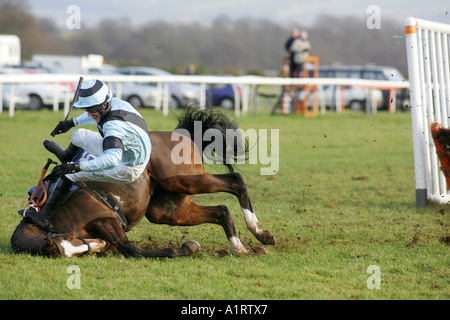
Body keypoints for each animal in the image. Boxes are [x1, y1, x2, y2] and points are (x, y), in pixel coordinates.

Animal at [10, 109, 276, 258]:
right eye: (59, 251)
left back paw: (258, 231)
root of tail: (182, 135)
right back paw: (242, 248)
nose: (97, 245)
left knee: (236, 181)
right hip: (168, 209)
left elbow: (133, 250)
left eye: (63, 244)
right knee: (221, 210)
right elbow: (129, 249)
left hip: (183, 180)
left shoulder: (105, 219)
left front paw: (186, 248)